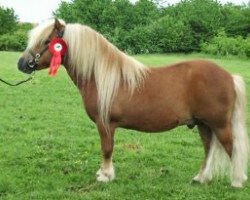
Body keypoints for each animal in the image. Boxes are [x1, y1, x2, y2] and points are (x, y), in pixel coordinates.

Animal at [17, 18, 248, 188]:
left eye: (46, 41)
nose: (21, 64)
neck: (99, 76)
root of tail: (229, 76)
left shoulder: (105, 124)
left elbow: (107, 148)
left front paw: (105, 176)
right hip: (203, 124)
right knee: (209, 149)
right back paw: (201, 178)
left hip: (219, 125)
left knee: (232, 148)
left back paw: (237, 181)